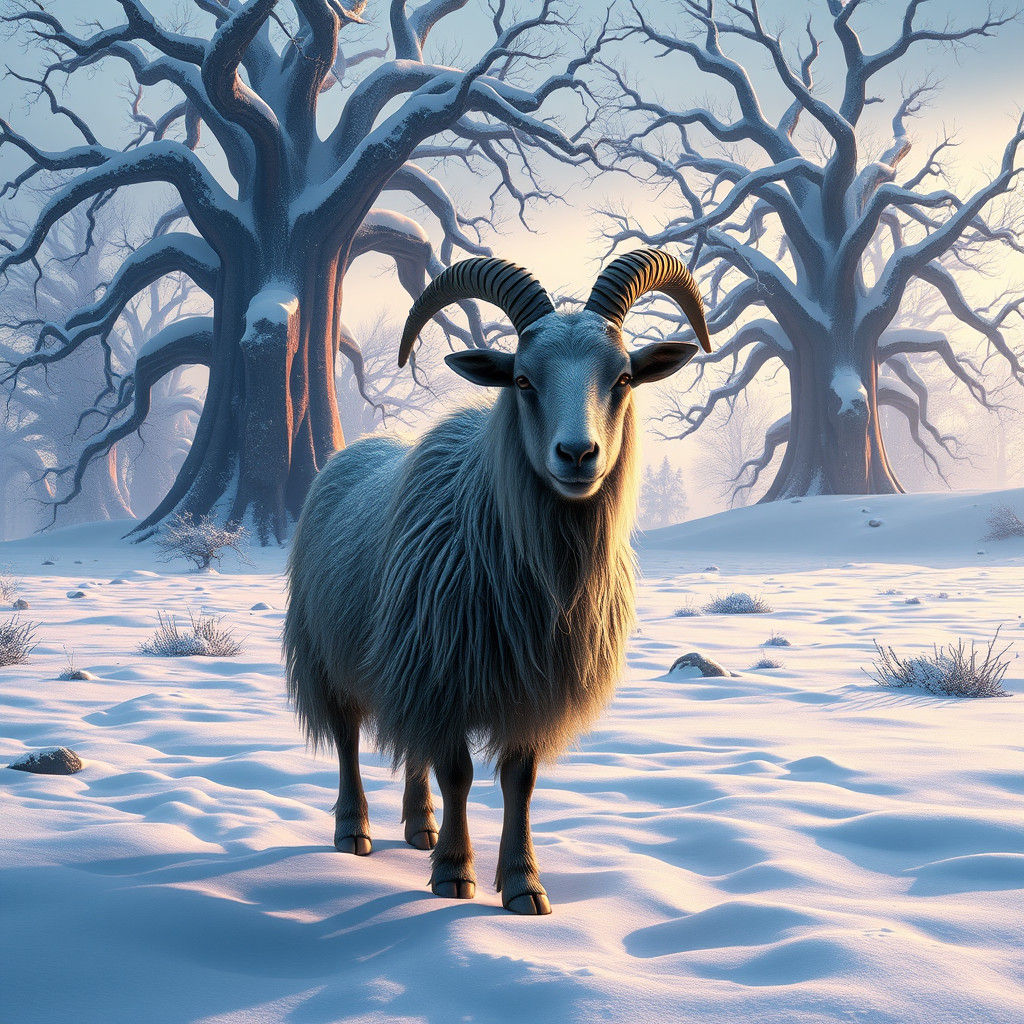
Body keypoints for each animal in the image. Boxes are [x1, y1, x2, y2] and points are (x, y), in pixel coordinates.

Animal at [284, 249, 711, 914]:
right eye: (523, 381)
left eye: (622, 379)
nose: (577, 454)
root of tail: (357, 449)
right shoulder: (441, 677)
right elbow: (457, 772)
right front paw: (454, 874)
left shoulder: (526, 688)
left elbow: (519, 782)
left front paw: (522, 883)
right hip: (330, 656)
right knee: (349, 740)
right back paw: (355, 831)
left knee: (411, 749)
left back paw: (420, 827)